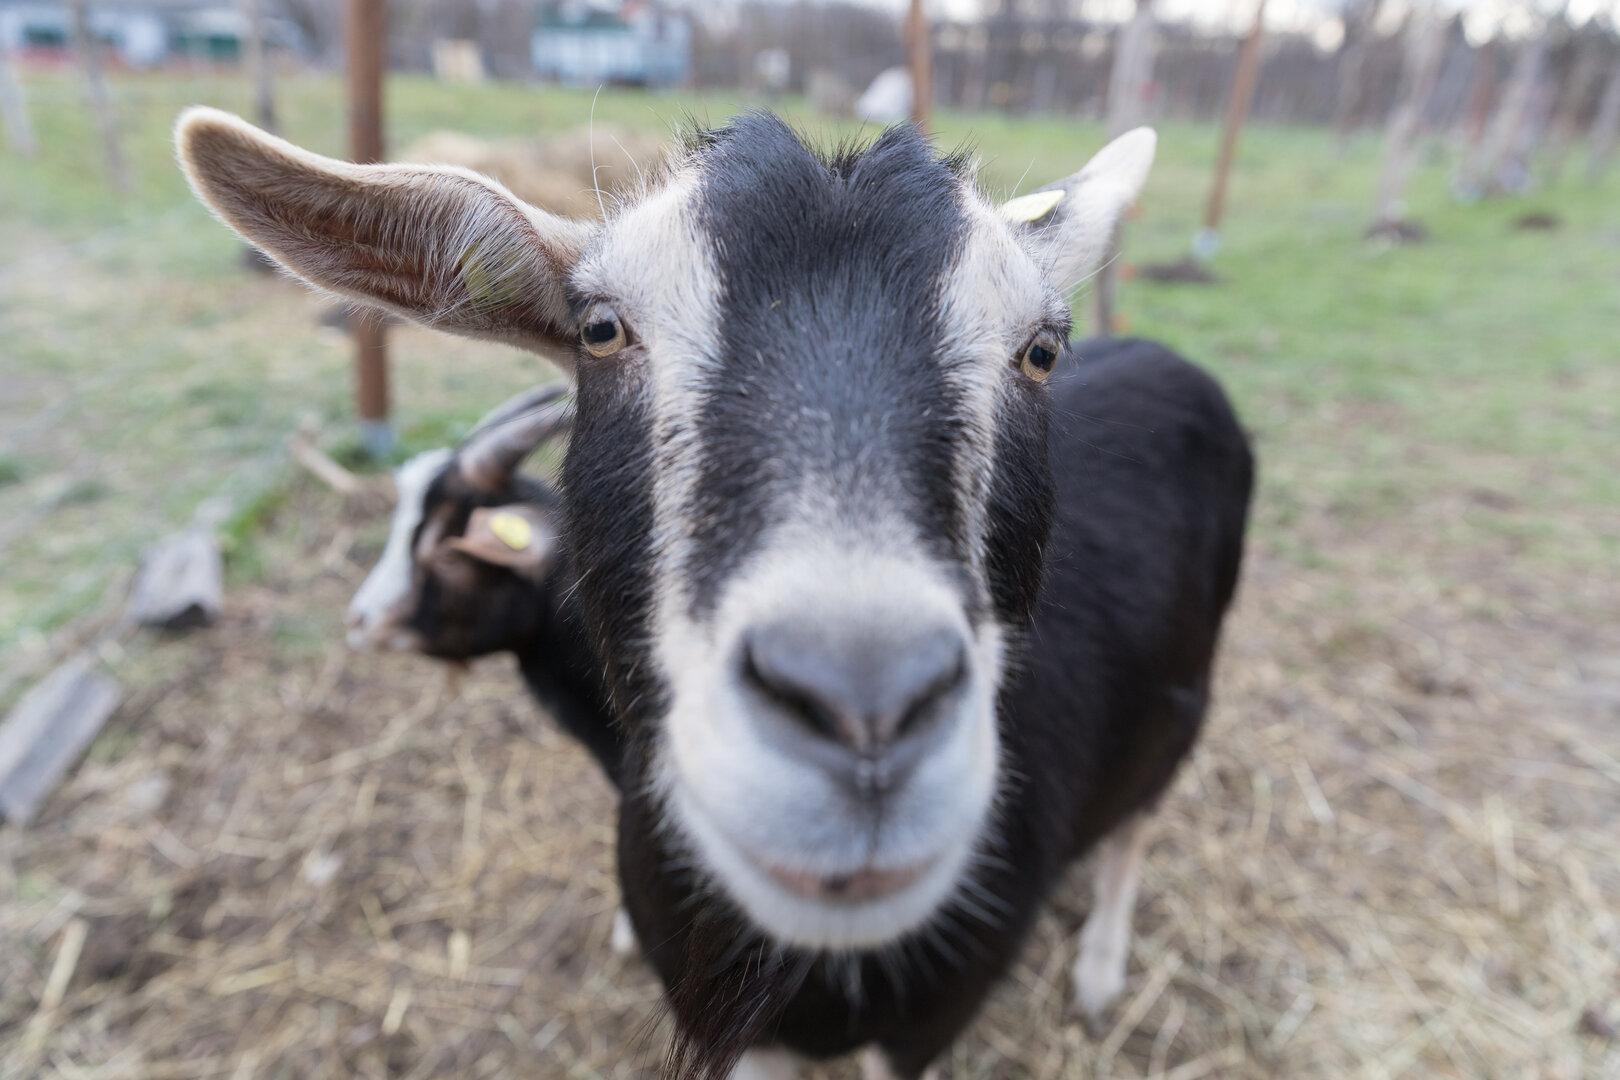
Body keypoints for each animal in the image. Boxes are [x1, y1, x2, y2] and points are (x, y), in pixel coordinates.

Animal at [178, 109, 1253, 1079]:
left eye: (1040, 349)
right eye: (599, 329)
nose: (865, 714)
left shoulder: (928, 1023)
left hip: (1192, 691)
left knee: (1140, 817)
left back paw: (1101, 971)